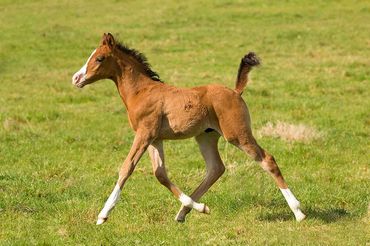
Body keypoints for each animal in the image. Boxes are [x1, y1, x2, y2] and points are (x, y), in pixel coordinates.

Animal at [71, 33, 304, 225]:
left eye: (99, 58)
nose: (76, 78)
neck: (142, 91)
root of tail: (236, 91)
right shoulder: (155, 139)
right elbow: (160, 174)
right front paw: (201, 208)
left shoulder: (144, 134)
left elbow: (126, 167)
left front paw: (102, 215)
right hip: (206, 137)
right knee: (216, 168)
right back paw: (184, 212)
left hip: (237, 135)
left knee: (267, 160)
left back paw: (298, 212)